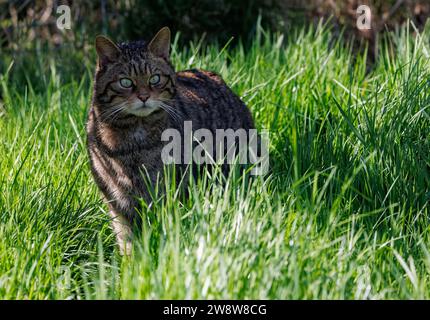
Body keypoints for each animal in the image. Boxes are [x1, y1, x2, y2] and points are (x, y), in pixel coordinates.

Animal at [87, 26, 255, 252]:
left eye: (155, 79)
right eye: (125, 82)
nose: (144, 97)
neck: (134, 140)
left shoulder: (167, 189)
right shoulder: (116, 199)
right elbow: (127, 239)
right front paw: (131, 260)